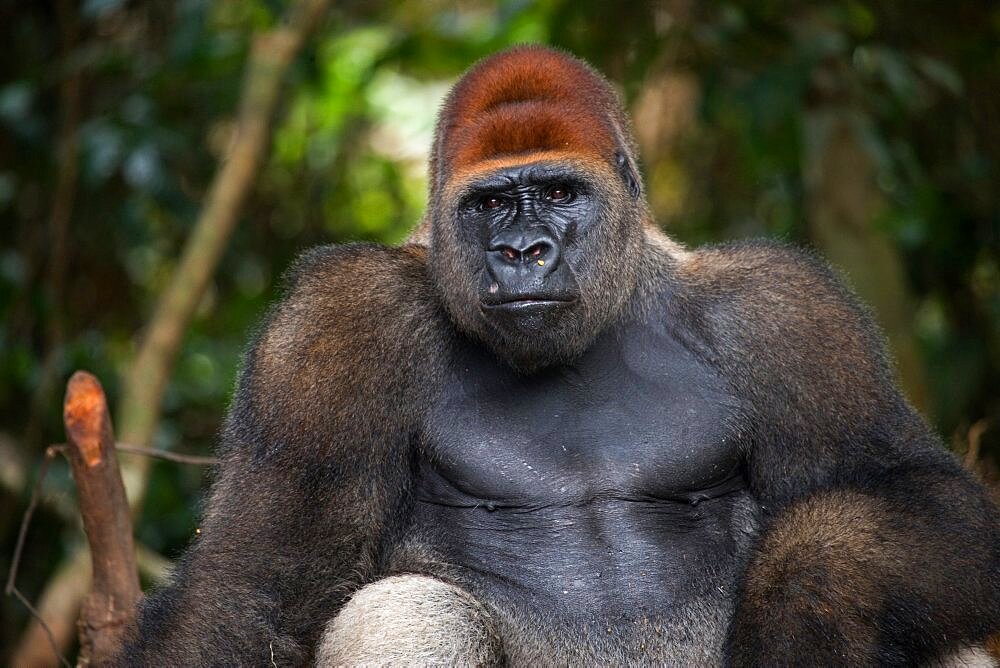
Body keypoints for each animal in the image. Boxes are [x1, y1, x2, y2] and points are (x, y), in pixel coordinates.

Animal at [119, 44, 1000, 664]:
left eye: (558, 193)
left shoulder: (788, 313)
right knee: (413, 611)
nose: (523, 253)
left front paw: (807, 599)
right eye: (491, 204)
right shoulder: (335, 325)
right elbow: (258, 584)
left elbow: (924, 500)